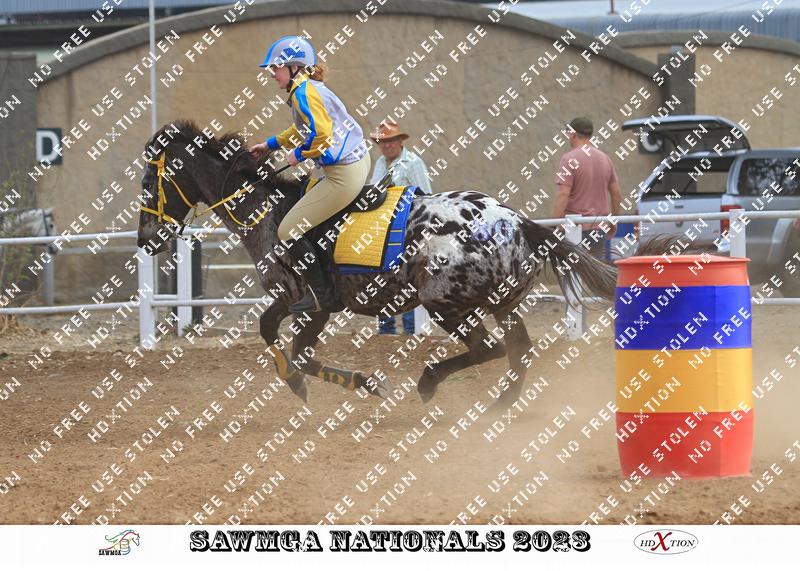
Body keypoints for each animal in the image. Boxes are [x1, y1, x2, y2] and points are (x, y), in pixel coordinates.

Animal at [136, 120, 618, 408]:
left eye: (149, 183)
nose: (146, 240)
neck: (269, 212)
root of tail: (517, 220)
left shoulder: (310, 303)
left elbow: (286, 342)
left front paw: (320, 383)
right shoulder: (304, 304)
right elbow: (282, 340)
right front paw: (322, 381)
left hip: (448, 305)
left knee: (490, 349)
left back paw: (429, 383)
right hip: (501, 303)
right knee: (518, 350)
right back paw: (499, 407)